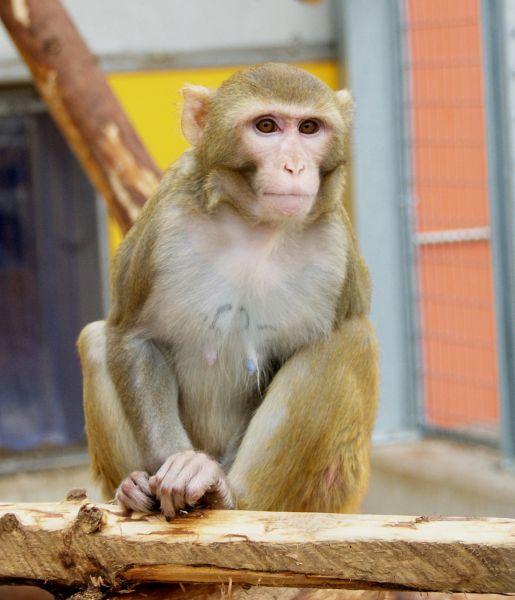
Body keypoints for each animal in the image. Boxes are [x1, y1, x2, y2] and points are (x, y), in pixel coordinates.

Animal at [79, 63, 378, 516]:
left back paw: (231, 496)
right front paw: (176, 465)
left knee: (350, 340)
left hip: (324, 496)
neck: (254, 226)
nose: (294, 166)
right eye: (266, 126)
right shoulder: (163, 219)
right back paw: (131, 488)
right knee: (96, 340)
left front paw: (200, 476)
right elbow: (132, 337)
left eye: (309, 127)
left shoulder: (335, 252)